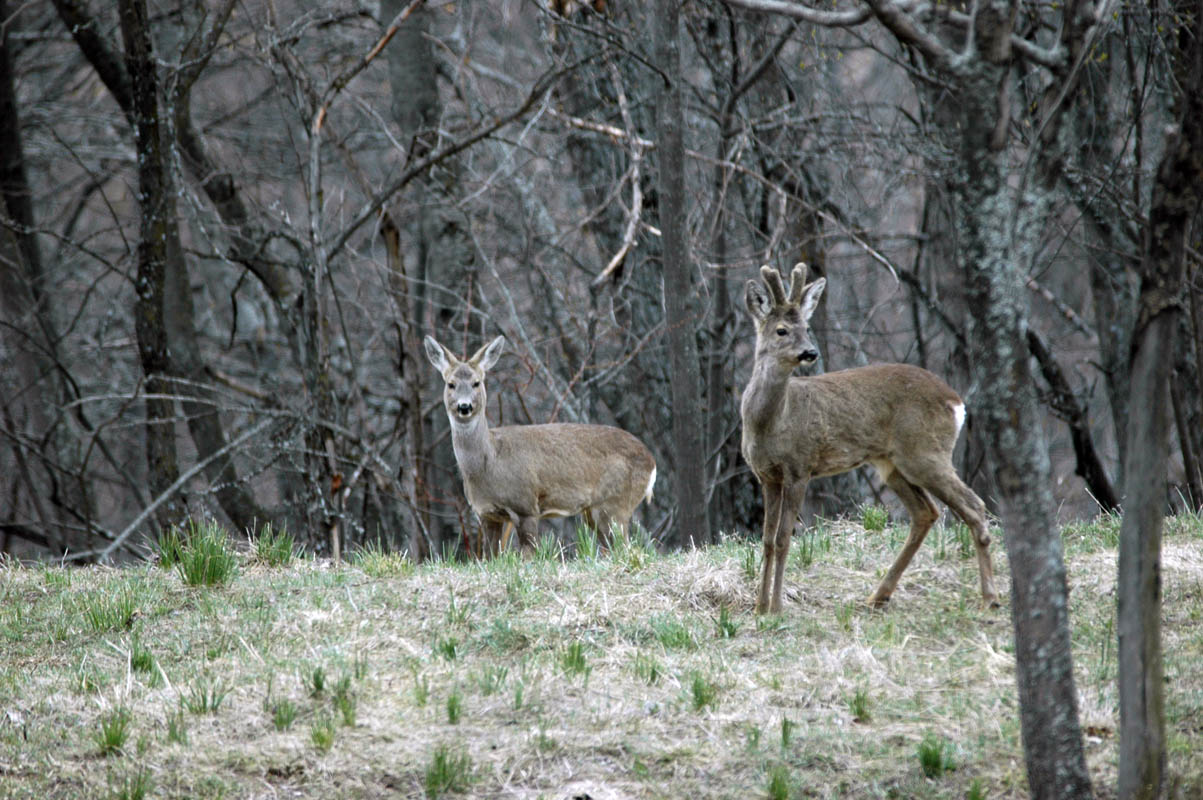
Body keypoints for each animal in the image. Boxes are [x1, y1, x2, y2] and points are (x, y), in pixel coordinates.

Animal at [425, 334, 659, 553]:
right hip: (595, 512)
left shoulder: (525, 505)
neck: (490, 462)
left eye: (476, 382)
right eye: (451, 384)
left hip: (615, 503)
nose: (464, 406)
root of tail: (652, 461)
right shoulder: (487, 514)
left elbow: (530, 554)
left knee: (627, 548)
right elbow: (490, 556)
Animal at [736, 264, 1000, 613]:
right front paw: (759, 607)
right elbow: (766, 539)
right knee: (926, 512)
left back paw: (990, 597)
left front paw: (777, 607)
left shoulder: (800, 467)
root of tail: (957, 402)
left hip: (925, 453)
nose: (810, 352)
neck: (772, 421)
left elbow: (782, 539)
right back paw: (878, 595)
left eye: (806, 326)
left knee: (973, 505)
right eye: (781, 330)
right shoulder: (767, 475)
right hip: (892, 464)